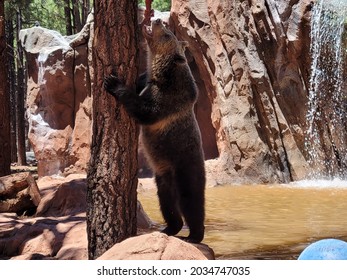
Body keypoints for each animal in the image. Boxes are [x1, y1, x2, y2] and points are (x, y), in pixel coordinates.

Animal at [104, 18, 205, 243]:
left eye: (167, 34)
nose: (158, 20)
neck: (162, 74)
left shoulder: (169, 97)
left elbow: (146, 111)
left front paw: (113, 82)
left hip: (185, 164)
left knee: (191, 200)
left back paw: (194, 235)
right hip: (163, 175)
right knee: (167, 203)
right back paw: (170, 228)